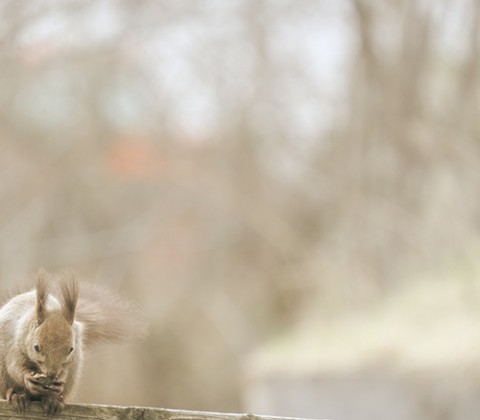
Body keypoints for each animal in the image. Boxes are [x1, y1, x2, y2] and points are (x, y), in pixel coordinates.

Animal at [0, 270, 145, 416]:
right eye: (36, 347)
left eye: (71, 349)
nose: (52, 374)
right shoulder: (14, 345)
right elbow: (15, 367)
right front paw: (28, 379)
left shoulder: (71, 360)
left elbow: (65, 372)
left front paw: (57, 387)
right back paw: (17, 396)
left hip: (74, 373)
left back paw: (54, 401)